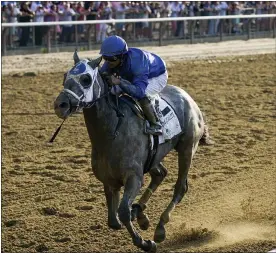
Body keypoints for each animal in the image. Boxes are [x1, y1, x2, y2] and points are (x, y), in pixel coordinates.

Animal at [54, 52, 213, 253]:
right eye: (65, 76)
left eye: (86, 79)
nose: (60, 105)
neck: (111, 134)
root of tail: (188, 97)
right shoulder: (109, 181)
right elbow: (113, 221)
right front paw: (137, 218)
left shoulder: (133, 177)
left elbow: (122, 212)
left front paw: (145, 242)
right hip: (153, 156)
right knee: (160, 174)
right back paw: (140, 213)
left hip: (187, 148)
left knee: (180, 187)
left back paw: (160, 228)